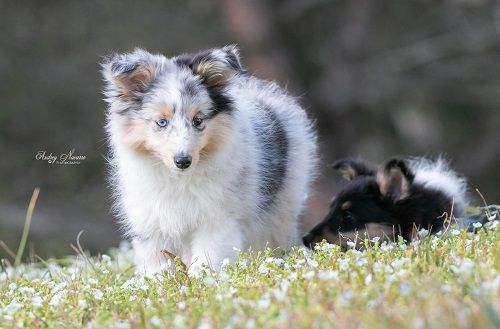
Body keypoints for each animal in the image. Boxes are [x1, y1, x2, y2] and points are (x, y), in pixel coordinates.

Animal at [102, 44, 316, 272]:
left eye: (198, 120)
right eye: (161, 122)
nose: (183, 161)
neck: (178, 180)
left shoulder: (216, 220)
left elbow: (207, 260)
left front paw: (202, 279)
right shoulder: (152, 225)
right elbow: (157, 267)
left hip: (280, 209)